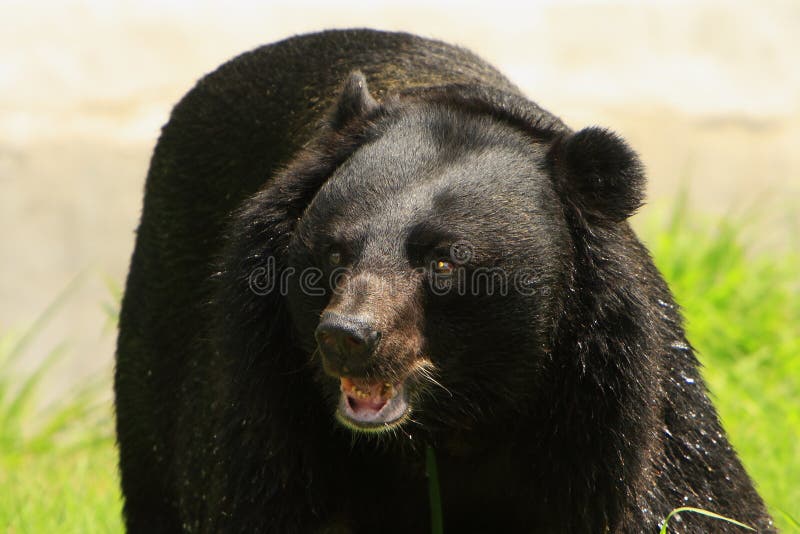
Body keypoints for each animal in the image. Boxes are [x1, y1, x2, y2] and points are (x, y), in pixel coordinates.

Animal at [115, 30, 772, 534]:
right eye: (333, 252)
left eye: (444, 263)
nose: (347, 337)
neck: (458, 418)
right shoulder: (265, 396)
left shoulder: (612, 406)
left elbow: (690, 501)